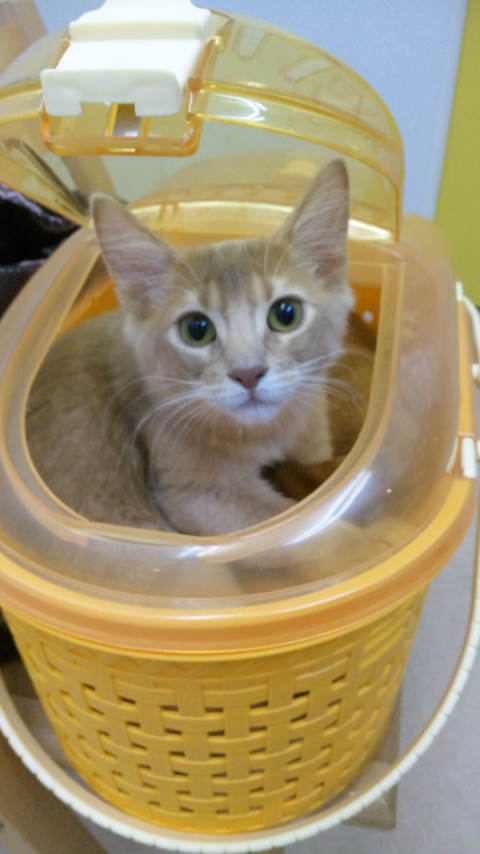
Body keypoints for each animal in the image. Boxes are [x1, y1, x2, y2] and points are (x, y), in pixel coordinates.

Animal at [27, 159, 371, 536]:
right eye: (196, 329)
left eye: (286, 314)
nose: (248, 373)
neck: (272, 432)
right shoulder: (195, 495)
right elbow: (295, 524)